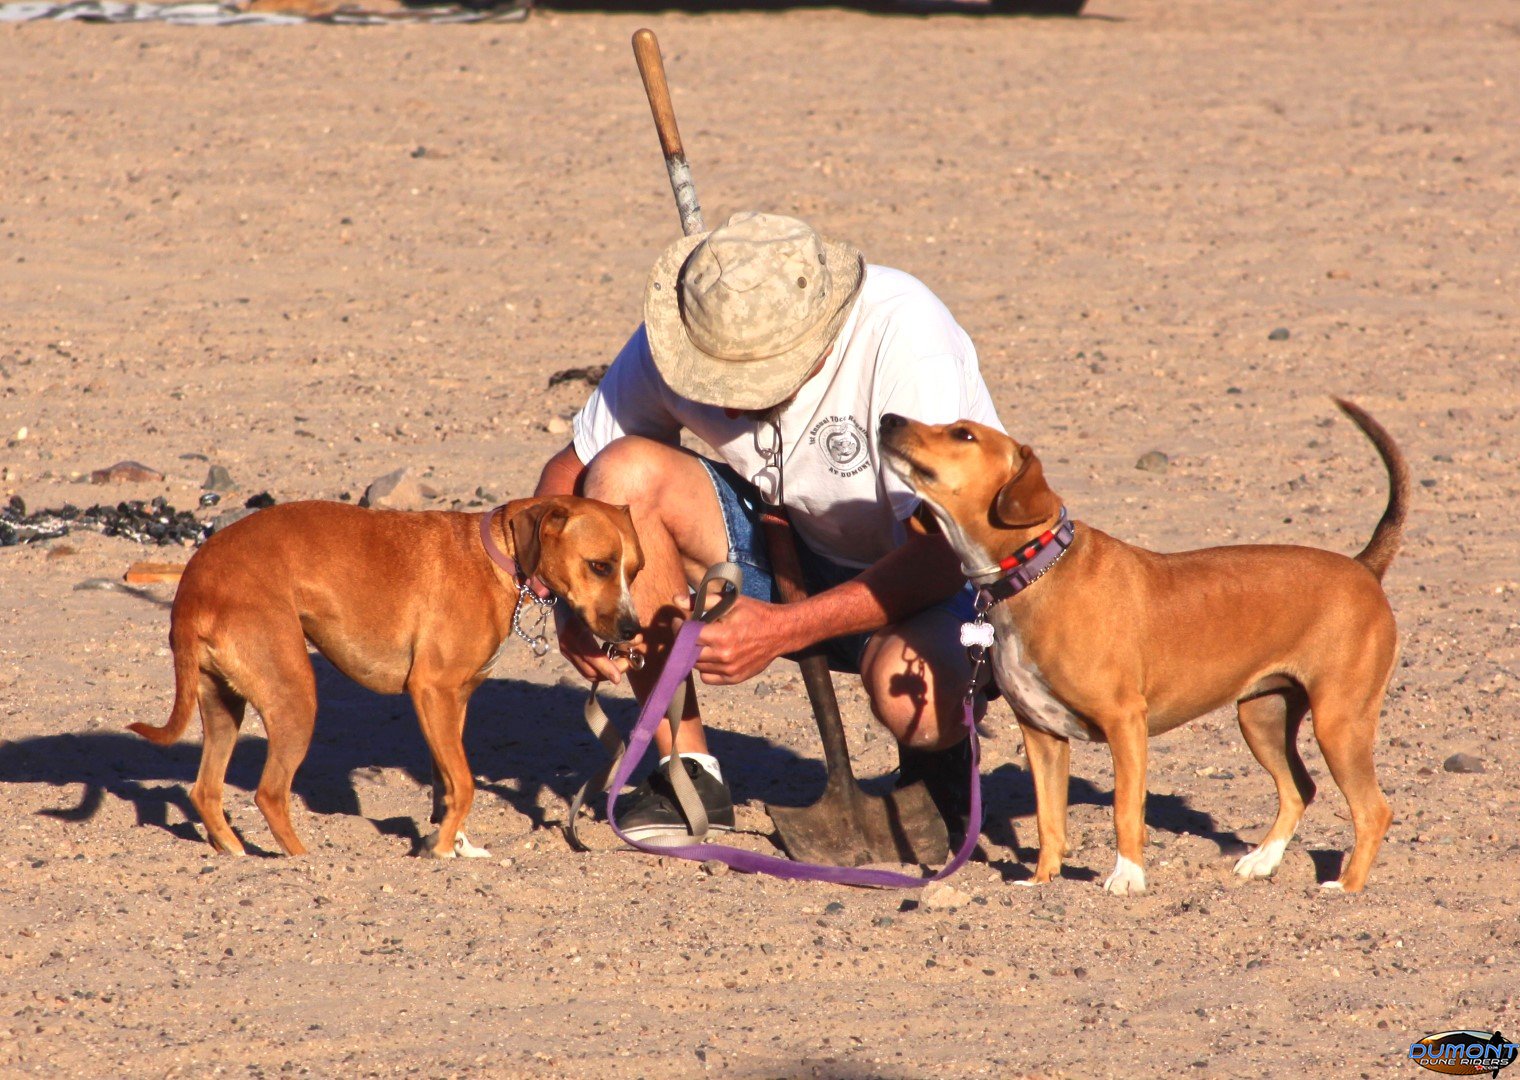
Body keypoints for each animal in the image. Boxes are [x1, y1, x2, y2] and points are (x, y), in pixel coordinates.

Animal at [127, 498, 644, 862]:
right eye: (599, 565)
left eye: (634, 570)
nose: (632, 630)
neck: (497, 558)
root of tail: (192, 584)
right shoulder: (432, 692)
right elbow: (465, 784)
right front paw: (442, 851)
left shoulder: (453, 704)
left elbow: (448, 785)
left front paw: (454, 845)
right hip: (295, 699)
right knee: (269, 794)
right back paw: (304, 861)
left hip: (223, 707)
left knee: (206, 790)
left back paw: (235, 851)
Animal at [887, 404, 1404, 893]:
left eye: (963, 434)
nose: (888, 419)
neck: (1035, 572)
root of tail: (1363, 567)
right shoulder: (1041, 733)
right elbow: (1049, 819)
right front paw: (1041, 880)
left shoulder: (1125, 723)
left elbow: (1124, 810)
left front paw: (1127, 878)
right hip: (1262, 718)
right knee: (1299, 788)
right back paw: (1262, 861)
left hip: (1338, 723)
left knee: (1373, 809)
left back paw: (1346, 886)